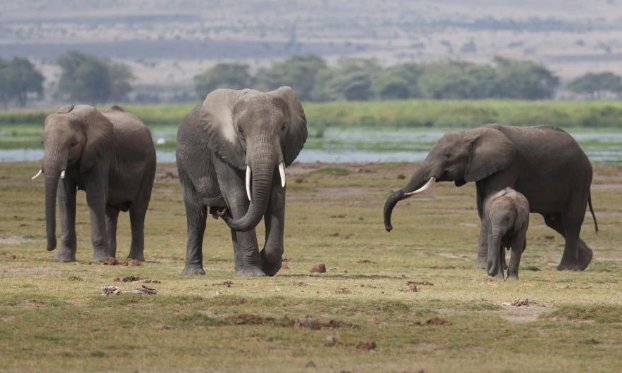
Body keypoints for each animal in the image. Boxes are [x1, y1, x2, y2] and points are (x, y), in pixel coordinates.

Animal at [34, 104, 157, 262]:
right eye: (43, 142)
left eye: (72, 144)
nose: (49, 247)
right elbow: (65, 198)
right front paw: (63, 260)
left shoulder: (101, 154)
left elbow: (95, 196)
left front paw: (99, 261)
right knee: (110, 211)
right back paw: (111, 258)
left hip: (149, 166)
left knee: (137, 210)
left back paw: (133, 259)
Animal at [177, 86, 308, 276]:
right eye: (240, 131)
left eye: (283, 127)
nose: (220, 211)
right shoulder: (221, 150)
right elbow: (237, 194)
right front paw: (253, 274)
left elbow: (276, 196)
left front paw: (266, 266)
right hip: (184, 165)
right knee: (196, 215)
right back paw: (194, 273)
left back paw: (239, 270)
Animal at [386, 124, 600, 270]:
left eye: (447, 155)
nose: (389, 228)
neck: (472, 133)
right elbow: (483, 208)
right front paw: (497, 266)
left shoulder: (508, 165)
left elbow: (490, 202)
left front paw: (482, 267)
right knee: (555, 221)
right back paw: (584, 262)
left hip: (579, 178)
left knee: (571, 220)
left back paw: (566, 268)